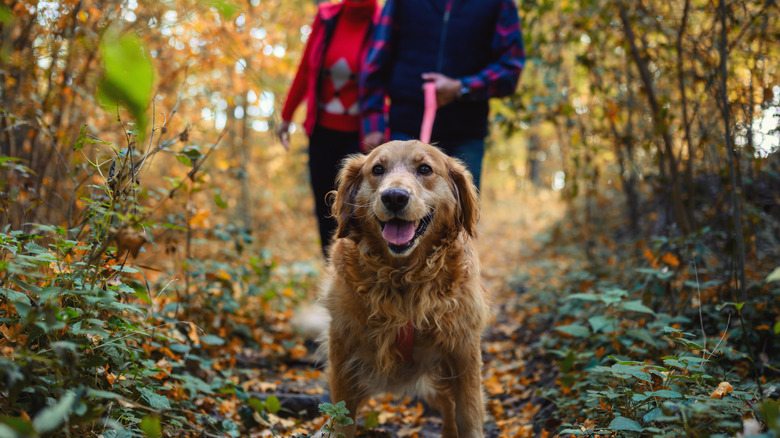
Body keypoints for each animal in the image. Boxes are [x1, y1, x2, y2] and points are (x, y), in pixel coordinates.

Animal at [316, 140, 488, 438]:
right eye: (377, 169)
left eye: (425, 169)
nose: (394, 197)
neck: (402, 278)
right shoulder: (343, 354)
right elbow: (341, 419)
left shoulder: (463, 350)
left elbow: (469, 415)